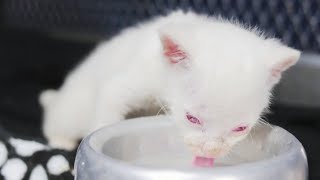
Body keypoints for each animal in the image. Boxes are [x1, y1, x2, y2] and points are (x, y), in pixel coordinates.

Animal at [40, 10, 300, 160]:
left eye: (240, 129)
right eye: (191, 118)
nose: (209, 151)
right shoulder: (133, 78)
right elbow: (110, 103)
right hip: (71, 109)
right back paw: (60, 140)